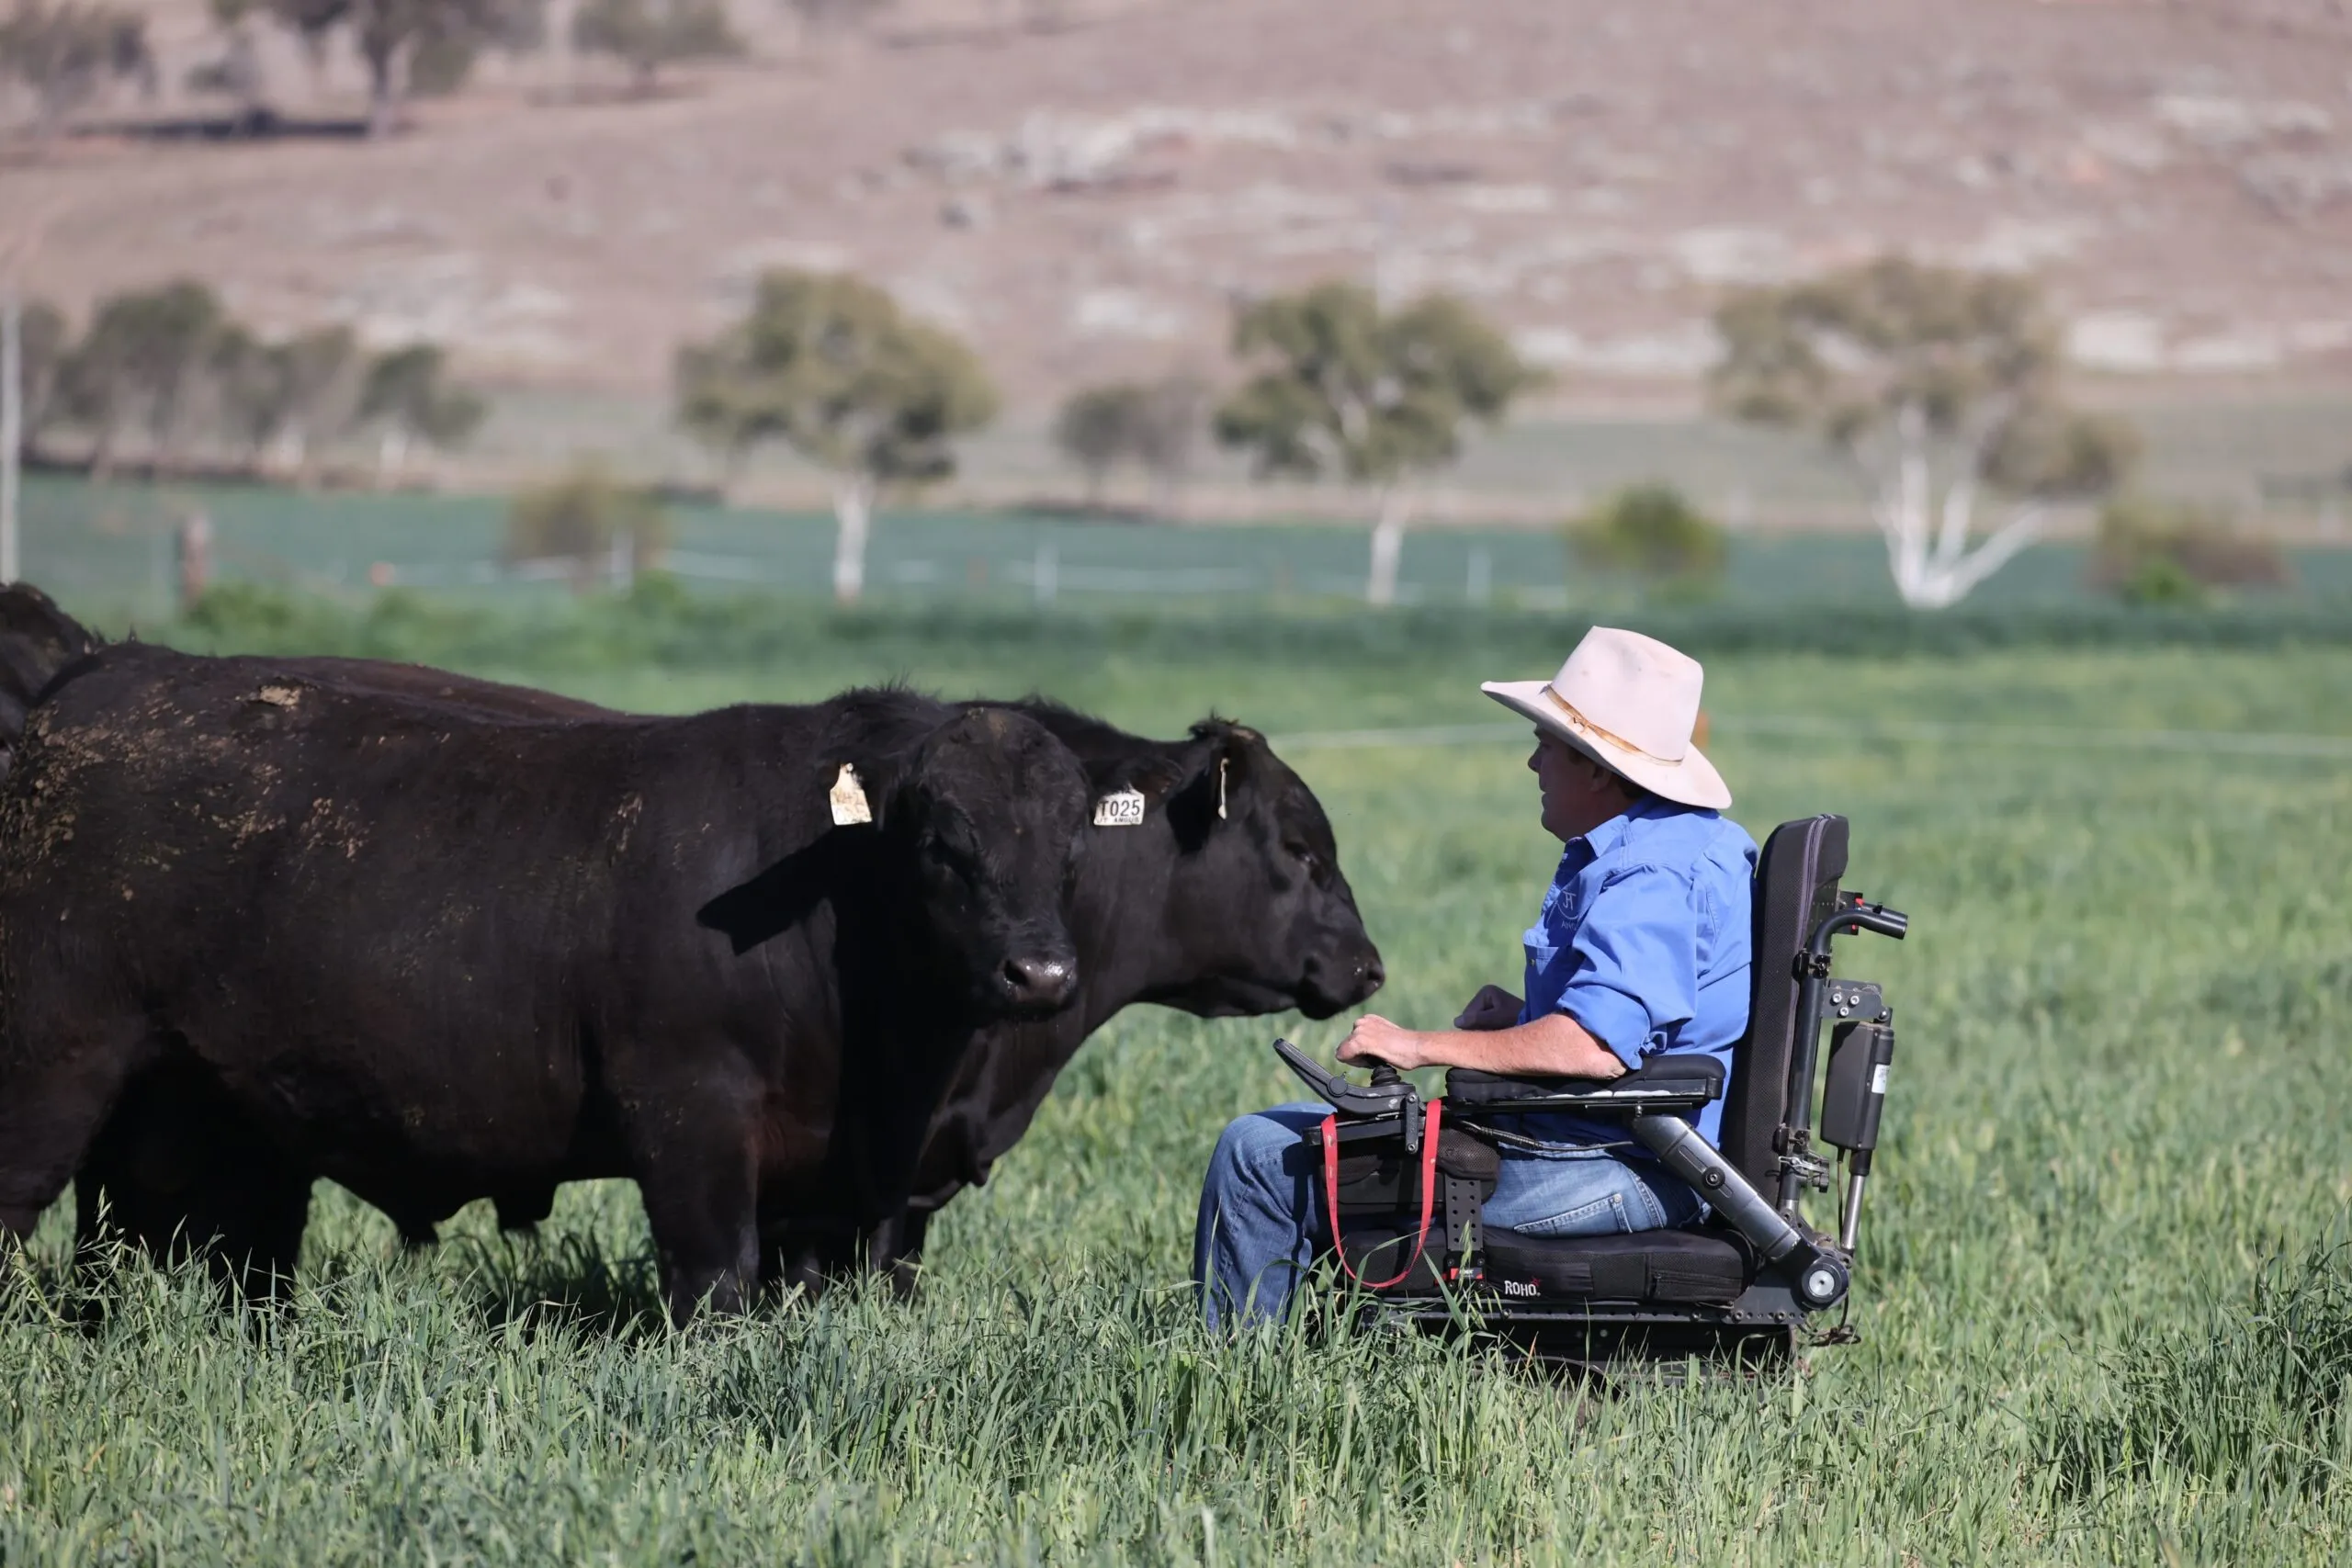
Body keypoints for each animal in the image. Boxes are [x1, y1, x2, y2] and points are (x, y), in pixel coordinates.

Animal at [0, 638, 1093, 1322]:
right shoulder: (688, 1111)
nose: (1040, 972)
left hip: (189, 1102)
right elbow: (714, 1279)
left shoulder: (835, 1181)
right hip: (50, 1061)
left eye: (1073, 844)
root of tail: (103, 678)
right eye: (942, 842)